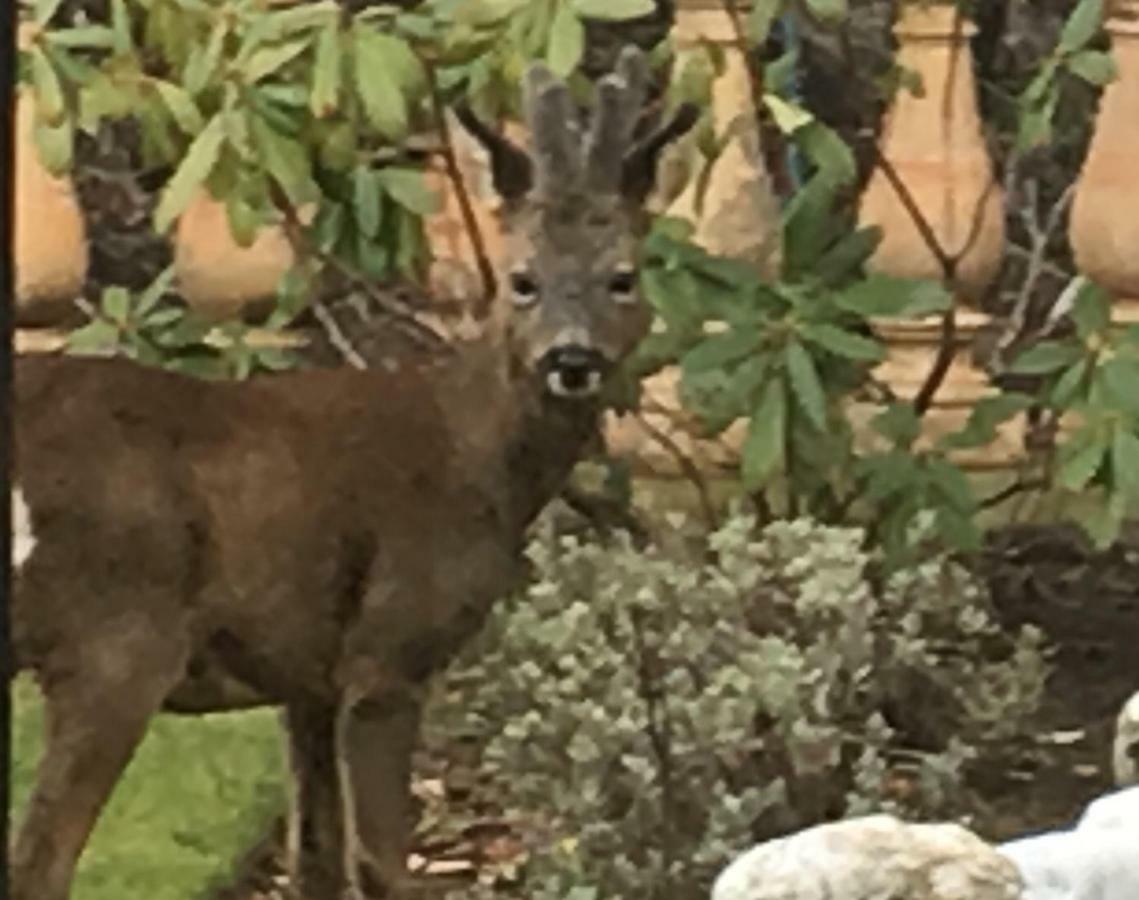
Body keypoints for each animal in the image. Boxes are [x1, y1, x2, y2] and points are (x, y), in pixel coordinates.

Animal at [8, 49, 697, 900]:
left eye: (623, 277)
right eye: (522, 278)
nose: (571, 357)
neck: (474, 453)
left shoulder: (306, 678)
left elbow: (317, 859)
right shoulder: (389, 652)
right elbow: (382, 864)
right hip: (116, 636)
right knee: (40, 862)